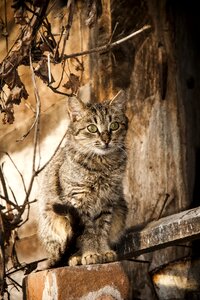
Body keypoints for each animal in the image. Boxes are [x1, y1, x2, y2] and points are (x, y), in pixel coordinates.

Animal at [37, 91, 128, 268]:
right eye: (92, 128)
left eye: (114, 125)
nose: (106, 140)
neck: (102, 165)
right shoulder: (78, 202)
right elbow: (87, 233)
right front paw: (90, 253)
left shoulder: (108, 202)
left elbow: (102, 230)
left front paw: (104, 251)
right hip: (53, 220)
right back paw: (75, 257)